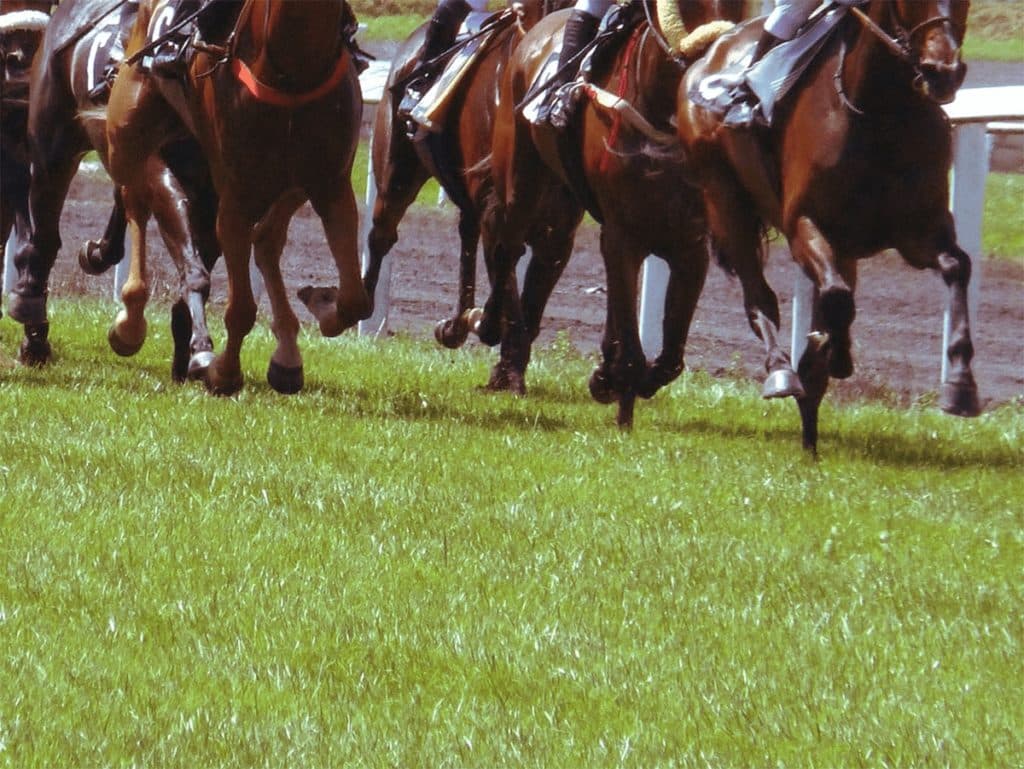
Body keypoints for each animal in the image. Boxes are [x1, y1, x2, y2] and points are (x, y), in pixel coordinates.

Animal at [107, 0, 366, 396]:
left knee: (267, 240)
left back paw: (286, 355)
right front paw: (223, 372)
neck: (295, 67)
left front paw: (322, 304)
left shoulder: (331, 185)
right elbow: (241, 308)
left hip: (287, 184)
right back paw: (130, 321)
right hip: (127, 133)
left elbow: (354, 299)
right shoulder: (237, 196)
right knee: (134, 198)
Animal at [365, 0, 579, 394]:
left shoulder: (558, 233)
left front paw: (504, 362)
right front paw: (503, 363)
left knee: (467, 235)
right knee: (381, 234)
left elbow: (529, 304)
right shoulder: (499, 214)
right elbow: (507, 299)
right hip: (396, 172)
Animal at [487, 0, 744, 425]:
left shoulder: (690, 245)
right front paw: (620, 401)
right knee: (504, 245)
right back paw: (502, 354)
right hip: (520, 176)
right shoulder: (624, 237)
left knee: (549, 251)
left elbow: (670, 358)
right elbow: (633, 351)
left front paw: (611, 379)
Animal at [677, 0, 974, 451]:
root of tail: (707, 55)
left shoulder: (920, 229)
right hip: (724, 199)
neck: (882, 114)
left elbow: (957, 267)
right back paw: (782, 371)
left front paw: (960, 384)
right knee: (759, 298)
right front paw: (825, 355)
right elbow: (835, 296)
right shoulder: (804, 222)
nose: (943, 72)